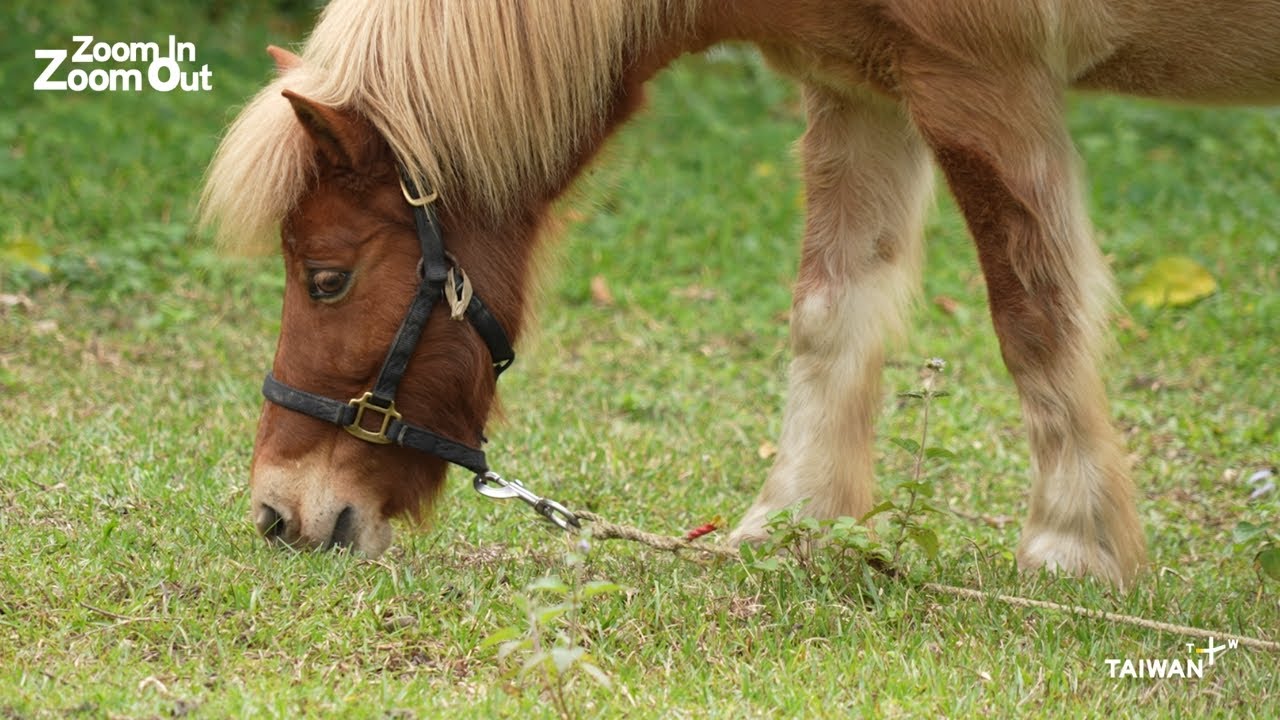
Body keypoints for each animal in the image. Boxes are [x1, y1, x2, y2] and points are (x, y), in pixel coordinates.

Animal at [200, 0, 1280, 586]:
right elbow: (829, 312)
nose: (279, 515)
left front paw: (1073, 545)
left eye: (326, 277)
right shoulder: (863, 86)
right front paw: (795, 523)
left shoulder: (981, 85)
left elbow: (1033, 313)